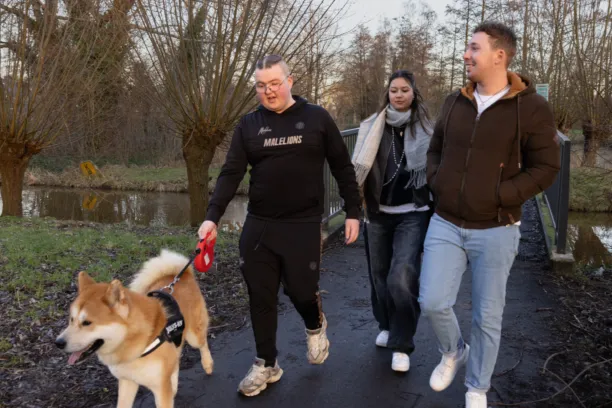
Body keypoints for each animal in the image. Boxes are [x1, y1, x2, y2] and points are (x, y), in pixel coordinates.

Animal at [55, 249, 213, 408]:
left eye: (87, 322)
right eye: (72, 319)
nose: (58, 343)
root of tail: (182, 274)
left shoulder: (160, 389)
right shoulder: (127, 382)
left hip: (194, 336)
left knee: (202, 343)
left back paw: (207, 364)